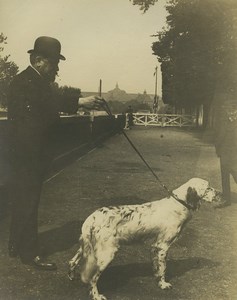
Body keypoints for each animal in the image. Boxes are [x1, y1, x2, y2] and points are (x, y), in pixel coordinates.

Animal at [68, 178, 222, 300]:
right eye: (208, 187)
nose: (220, 193)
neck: (179, 203)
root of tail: (92, 217)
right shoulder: (162, 246)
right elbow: (163, 268)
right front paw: (163, 284)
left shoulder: (155, 245)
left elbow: (157, 266)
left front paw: (156, 277)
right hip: (107, 254)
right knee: (92, 278)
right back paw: (96, 295)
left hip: (85, 247)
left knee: (72, 261)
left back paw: (71, 277)